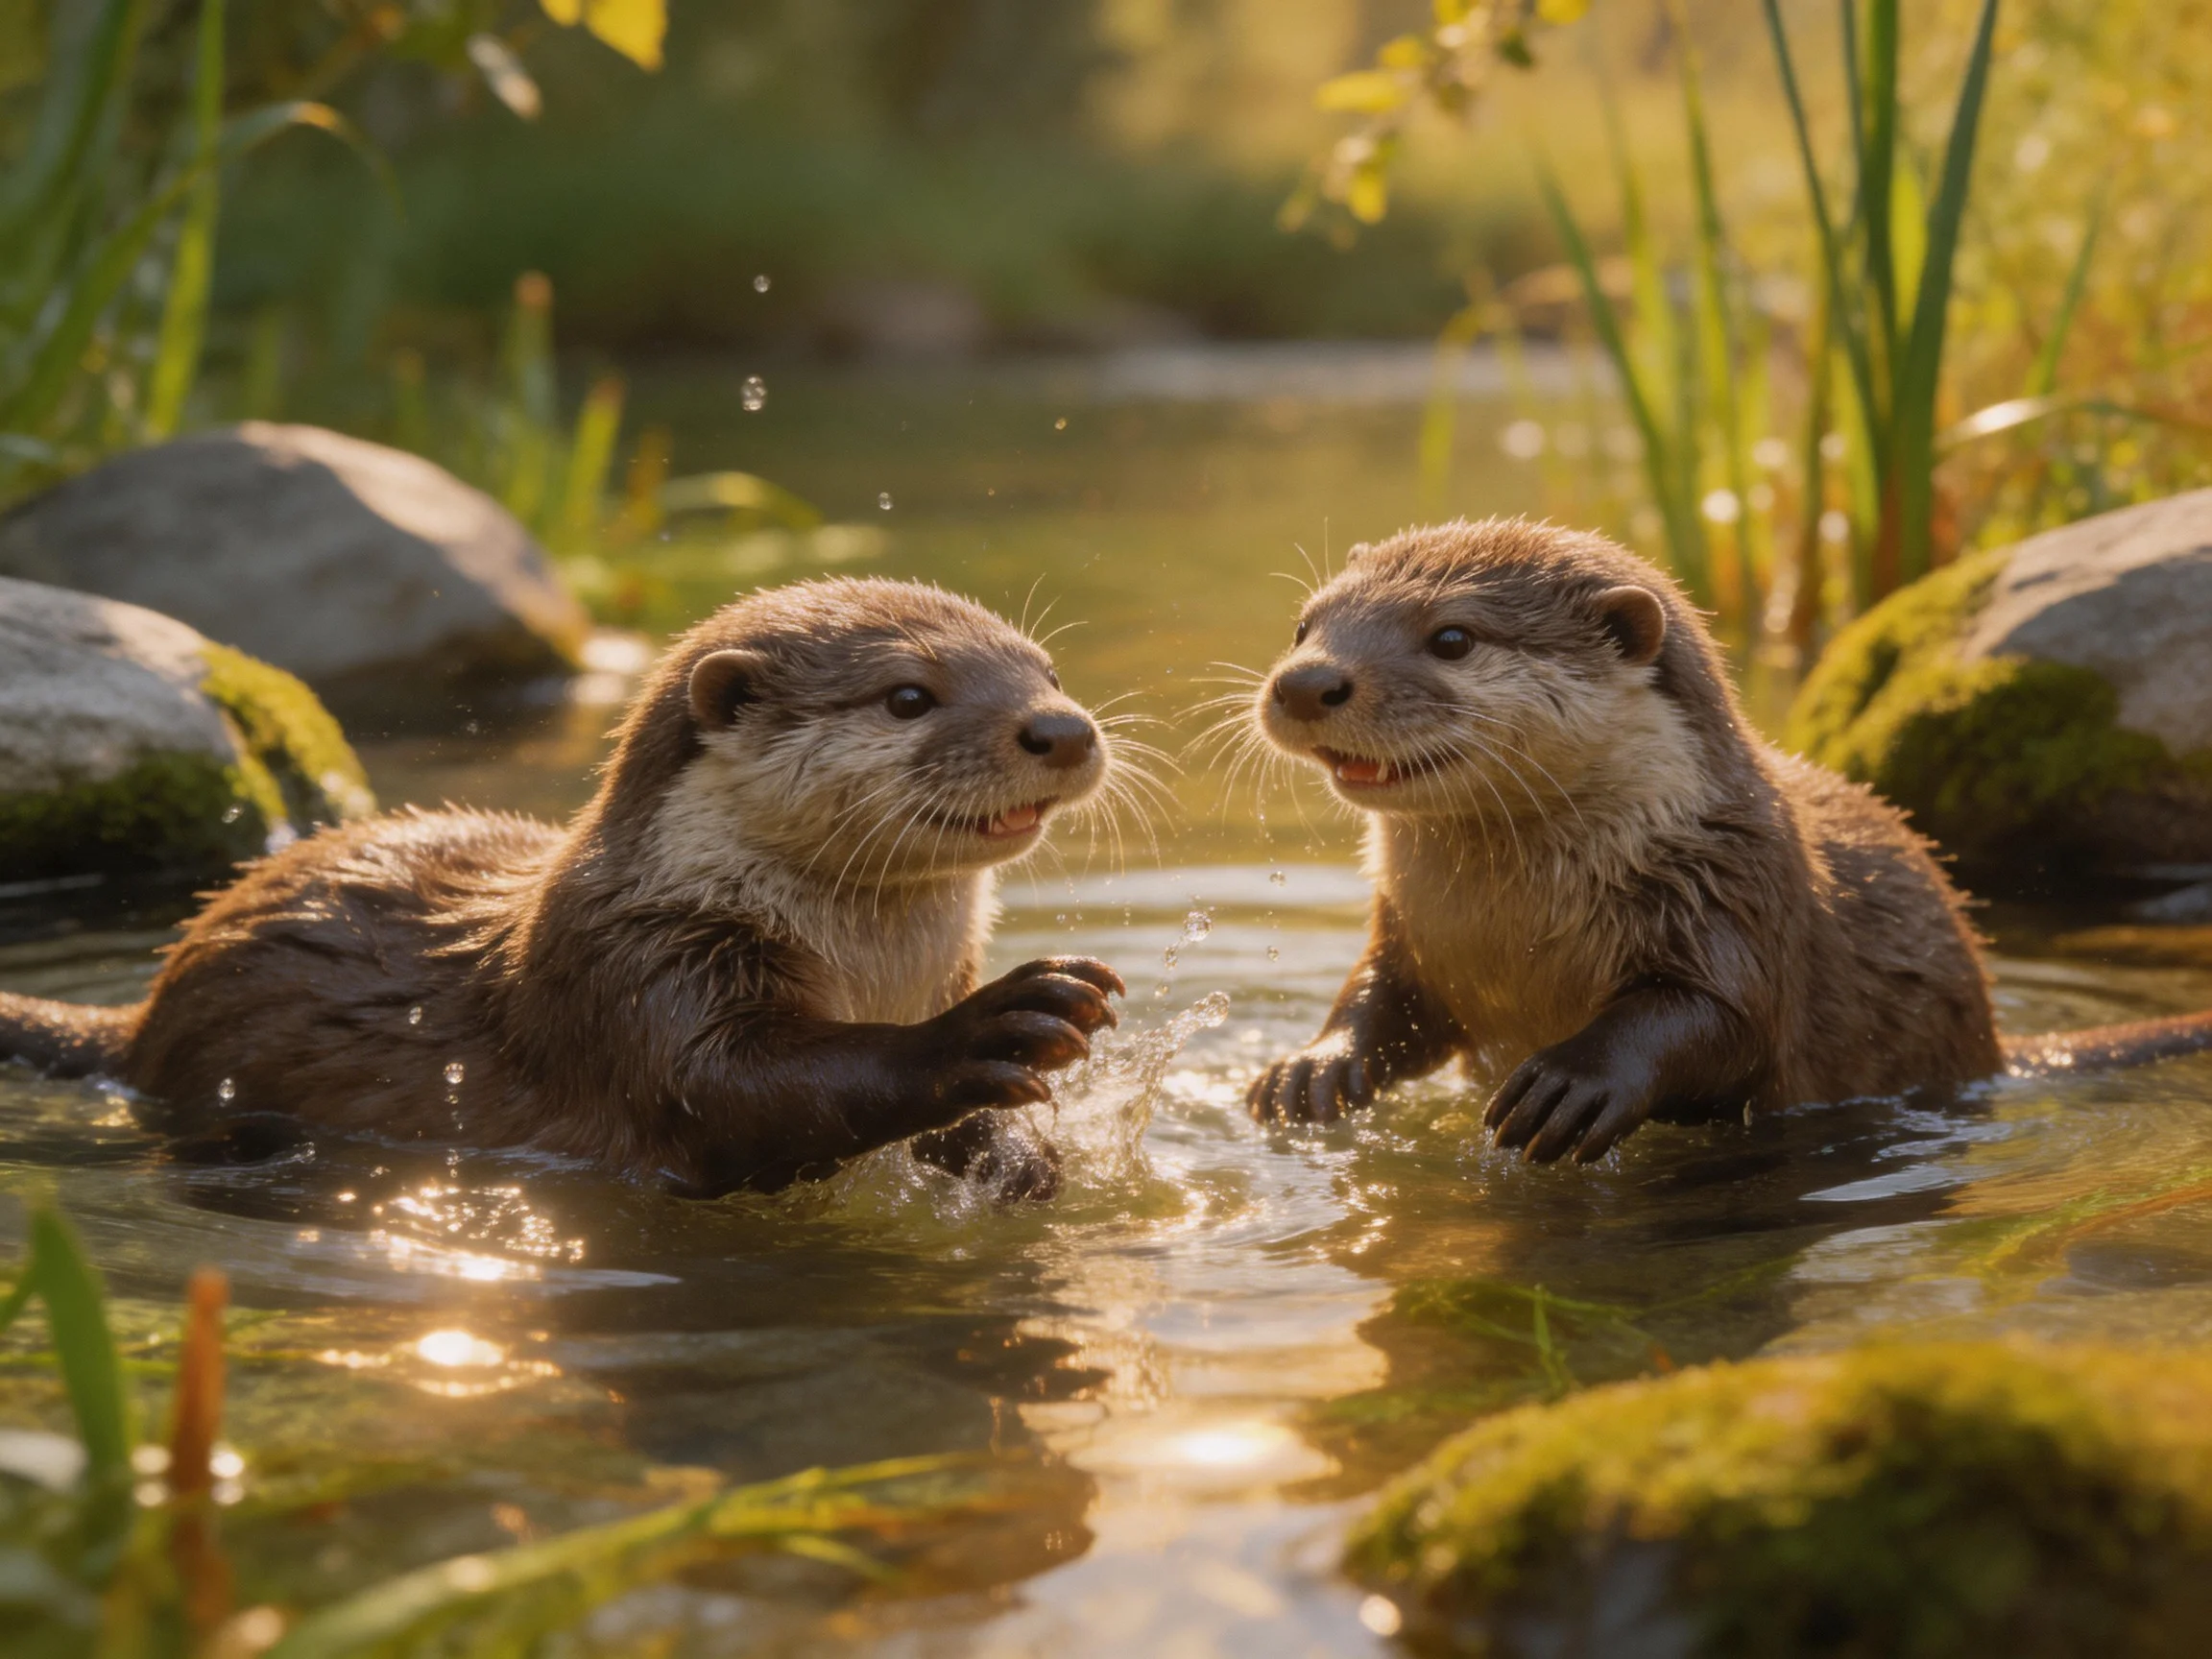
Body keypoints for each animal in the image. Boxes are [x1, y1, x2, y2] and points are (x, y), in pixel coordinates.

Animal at [0, 578, 1127, 1198]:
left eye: (1049, 671)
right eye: (908, 695)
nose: (1062, 728)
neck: (874, 974)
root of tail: (146, 1012)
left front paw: (1017, 1153)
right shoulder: (636, 972)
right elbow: (749, 1094)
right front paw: (1000, 1025)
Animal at [1244, 518, 2212, 1163]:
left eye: (1452, 636)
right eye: (1304, 623)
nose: (1305, 682)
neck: (1508, 934)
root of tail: (1997, 1050)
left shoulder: (1733, 892)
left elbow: (1721, 1016)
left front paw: (1570, 1082)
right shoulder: (1409, 931)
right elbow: (1386, 1001)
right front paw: (1308, 1069)